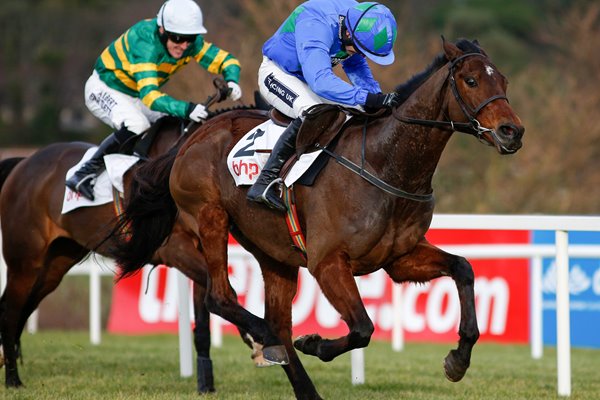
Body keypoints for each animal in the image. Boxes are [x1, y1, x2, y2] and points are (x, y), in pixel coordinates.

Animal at [113, 38, 524, 400]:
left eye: (503, 81)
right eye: (471, 81)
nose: (512, 131)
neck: (384, 163)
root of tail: (194, 135)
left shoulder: (400, 258)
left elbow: (463, 268)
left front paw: (458, 359)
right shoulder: (327, 262)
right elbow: (363, 327)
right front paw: (316, 343)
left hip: (273, 254)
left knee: (277, 320)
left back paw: (297, 376)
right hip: (210, 217)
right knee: (221, 298)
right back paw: (266, 339)